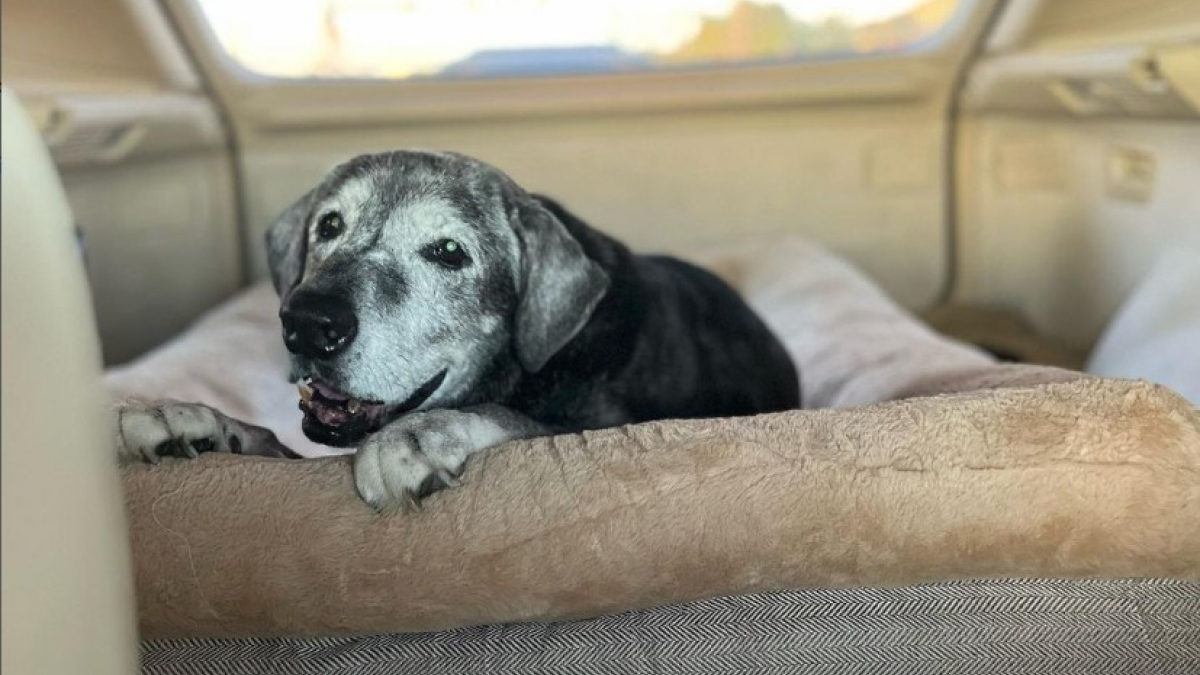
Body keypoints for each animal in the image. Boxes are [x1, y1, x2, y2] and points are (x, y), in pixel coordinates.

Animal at [117, 151, 801, 509]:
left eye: (448, 252)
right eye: (329, 225)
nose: (308, 324)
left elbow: (518, 421)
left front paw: (417, 438)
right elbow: (266, 445)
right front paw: (192, 419)